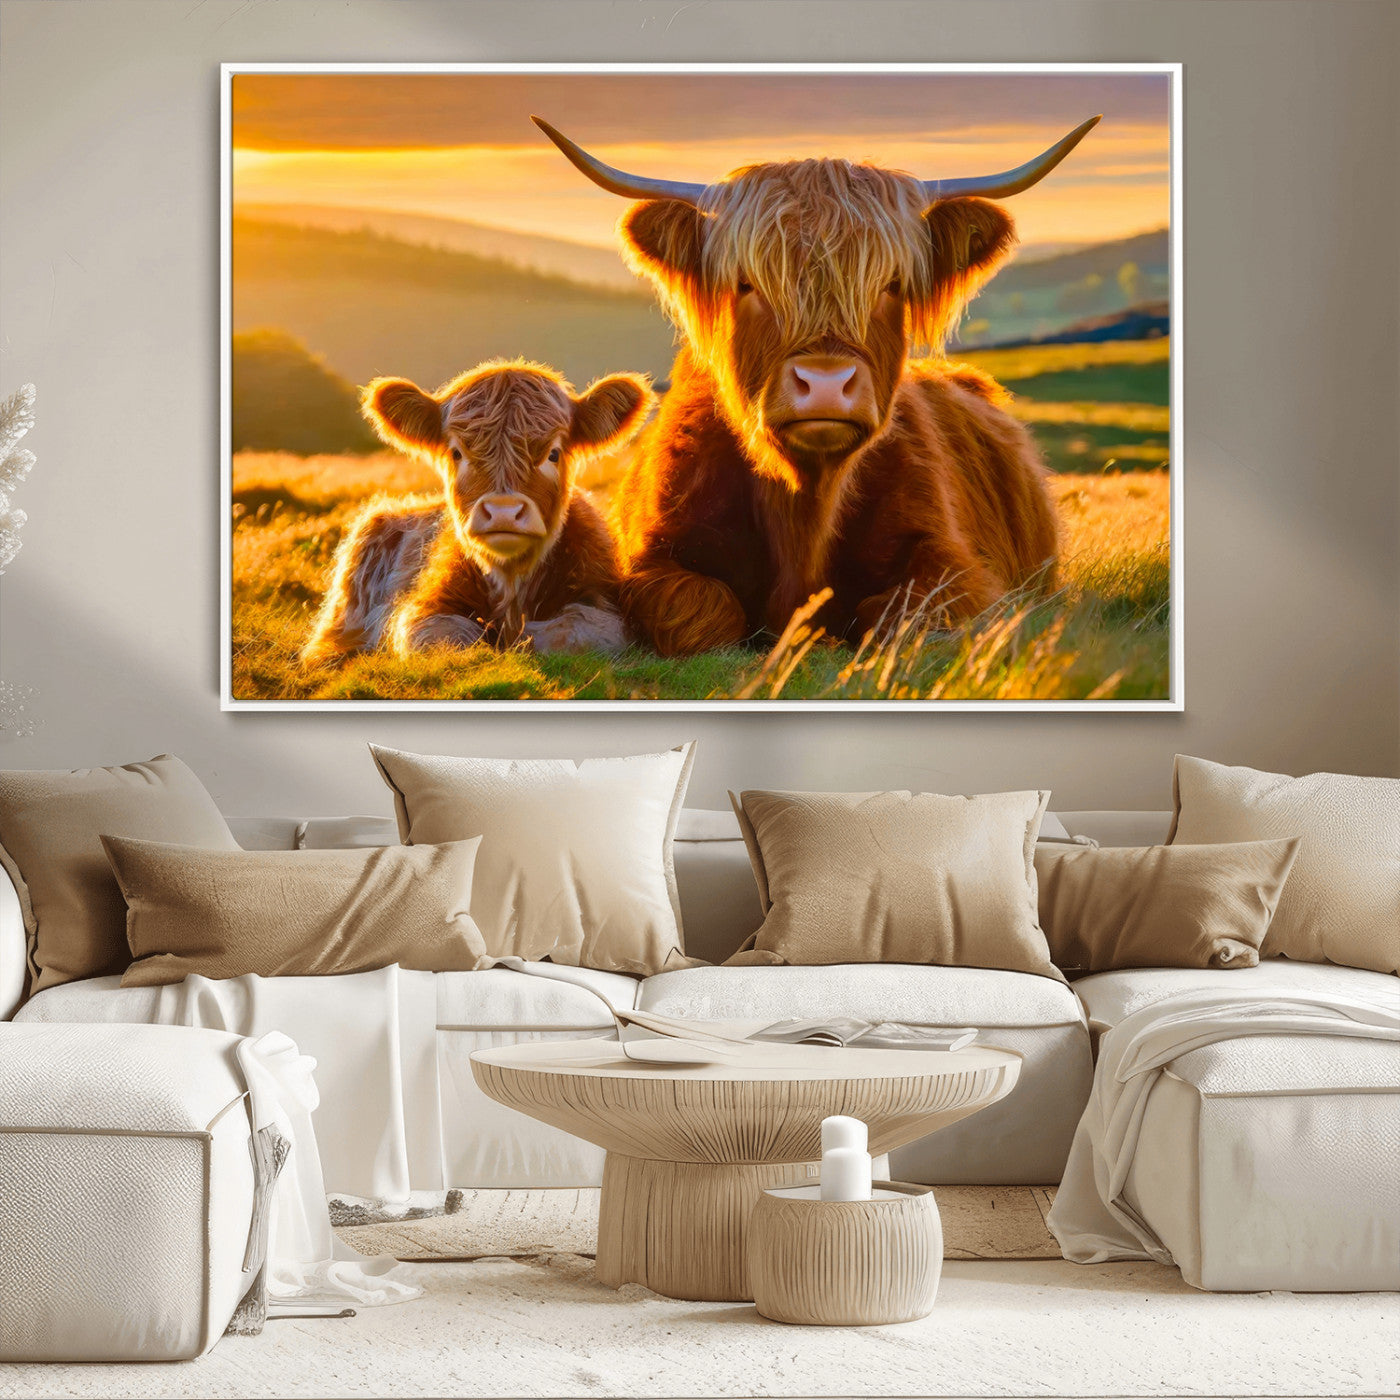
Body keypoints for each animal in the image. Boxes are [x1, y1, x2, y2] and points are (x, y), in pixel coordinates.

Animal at [301, 359, 653, 664]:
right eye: (457, 453)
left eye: (553, 454)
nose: (503, 512)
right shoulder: (421, 610)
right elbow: (448, 639)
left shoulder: (604, 605)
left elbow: (569, 634)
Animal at [533, 115, 1099, 656]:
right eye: (747, 283)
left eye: (891, 284)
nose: (826, 383)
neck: (804, 508)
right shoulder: (651, 562)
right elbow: (703, 612)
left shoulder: (957, 567)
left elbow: (896, 616)